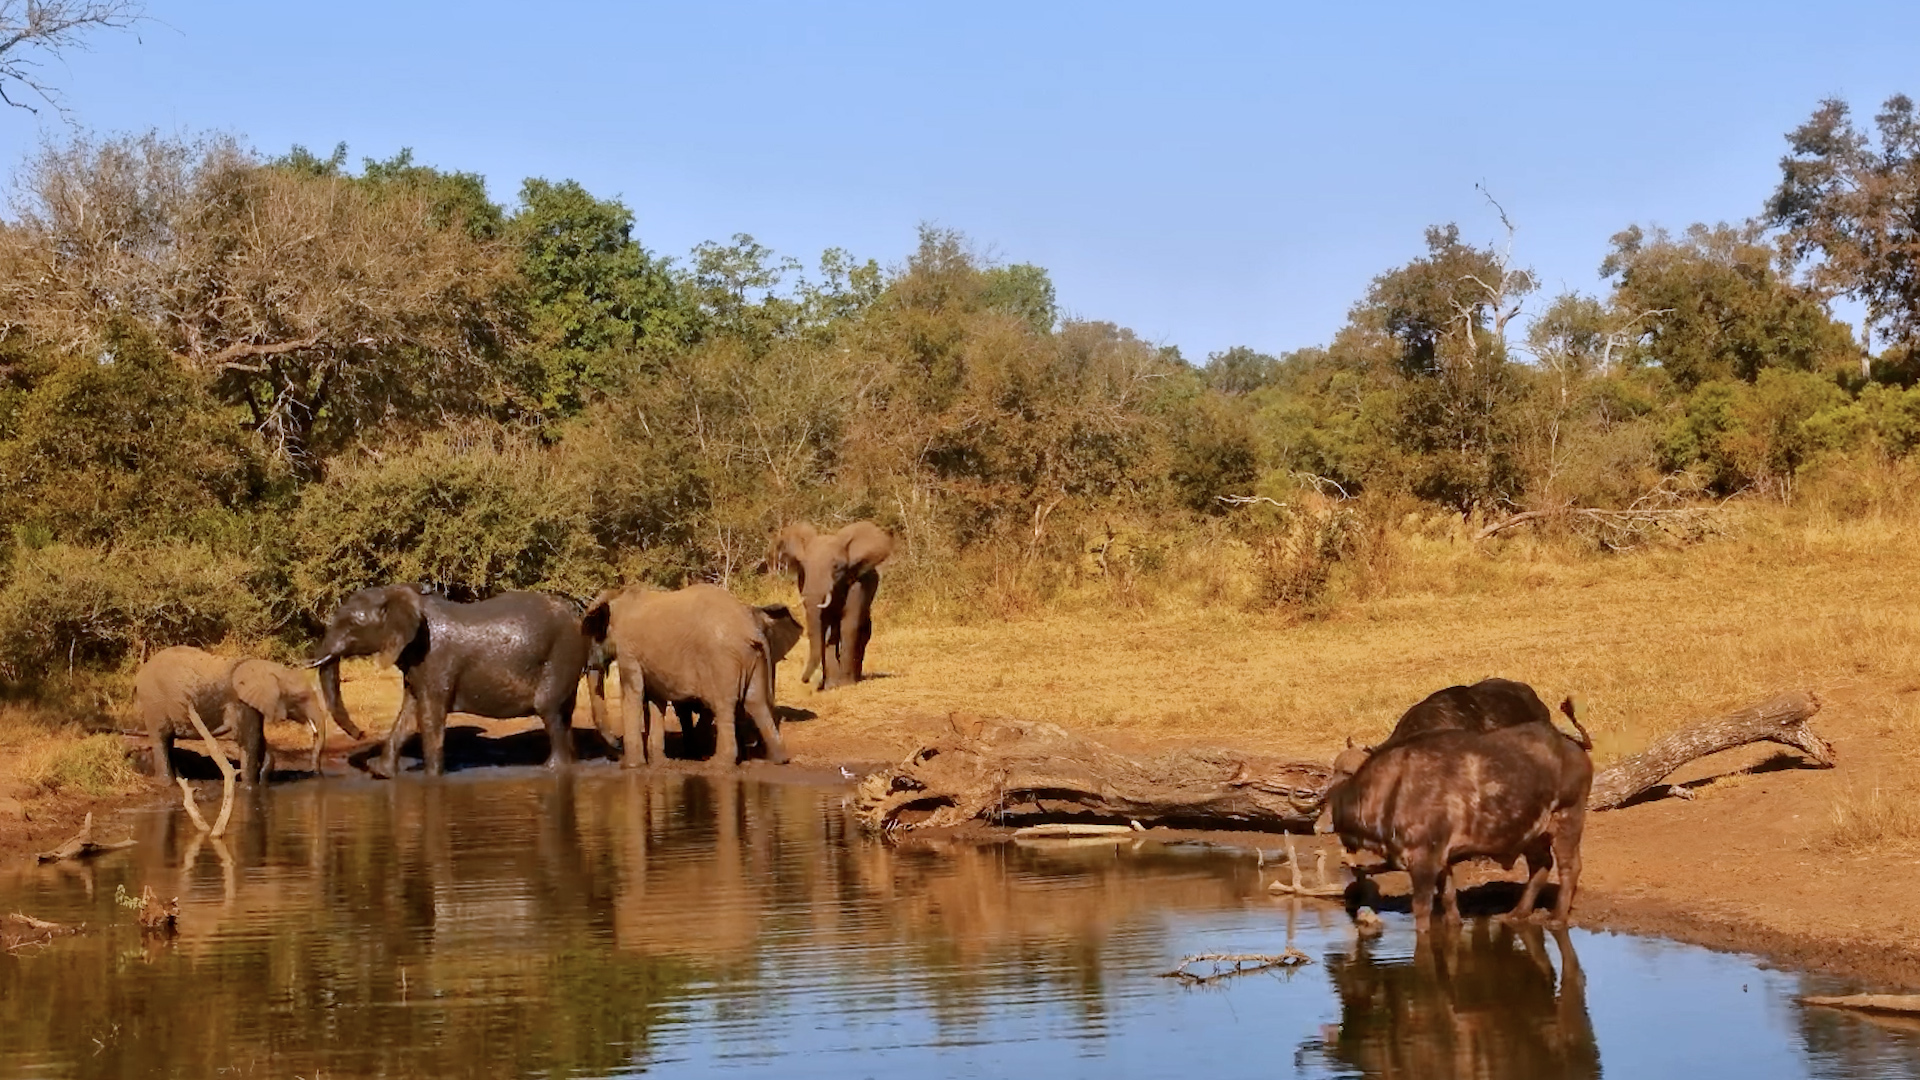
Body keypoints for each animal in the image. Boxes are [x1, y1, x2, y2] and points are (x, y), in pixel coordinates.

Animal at [133, 646, 340, 785]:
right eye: (301, 697)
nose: (317, 773)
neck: (269, 669)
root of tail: (140, 672)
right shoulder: (240, 702)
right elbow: (249, 740)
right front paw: (249, 786)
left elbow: (259, 739)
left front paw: (262, 777)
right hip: (154, 701)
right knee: (161, 738)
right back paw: (169, 784)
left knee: (168, 741)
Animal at [308, 586, 592, 778]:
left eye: (351, 625)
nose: (361, 733)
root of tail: (577, 618)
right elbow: (409, 711)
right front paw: (383, 773)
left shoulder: (436, 659)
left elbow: (429, 715)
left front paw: (431, 778)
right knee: (564, 715)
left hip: (561, 654)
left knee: (548, 709)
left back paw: (552, 770)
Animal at [581, 584, 799, 766]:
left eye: (593, 636)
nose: (616, 749)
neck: (618, 597)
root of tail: (752, 630)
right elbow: (655, 699)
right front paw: (659, 763)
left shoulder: (628, 650)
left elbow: (632, 694)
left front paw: (631, 766)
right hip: (752, 656)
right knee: (756, 702)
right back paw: (778, 760)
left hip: (722, 660)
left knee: (723, 705)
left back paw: (718, 764)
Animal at [768, 520, 893, 690]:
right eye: (804, 566)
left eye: (836, 567)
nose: (804, 680)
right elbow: (827, 629)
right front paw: (831, 686)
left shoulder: (856, 584)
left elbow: (849, 626)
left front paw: (845, 684)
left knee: (863, 628)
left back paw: (855, 677)